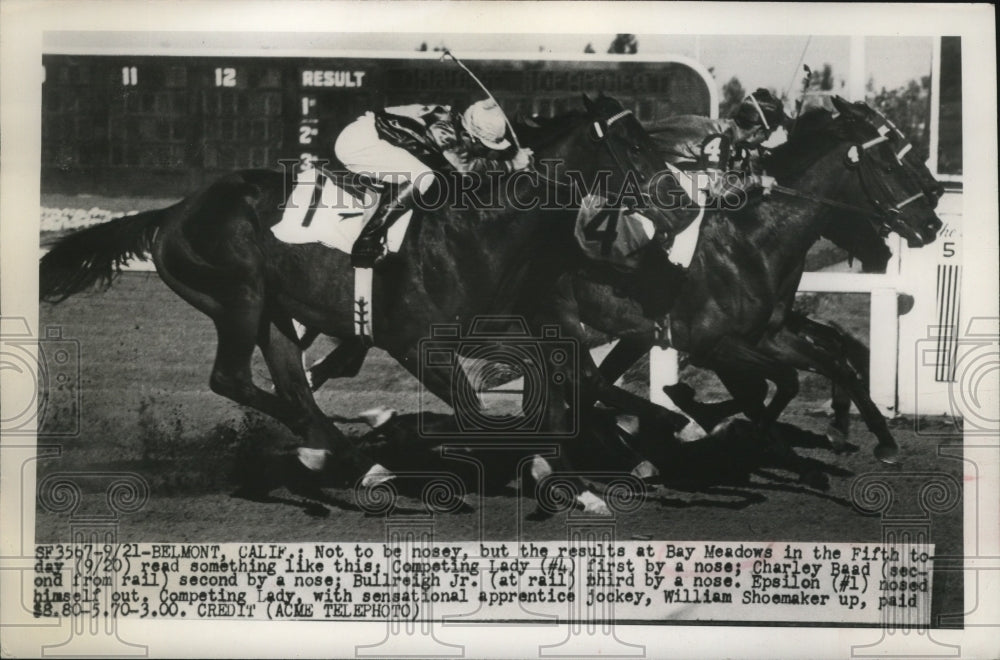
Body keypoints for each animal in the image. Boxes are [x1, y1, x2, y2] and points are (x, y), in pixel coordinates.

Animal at [39, 93, 680, 510]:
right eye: (630, 142)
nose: (681, 202)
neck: (483, 228)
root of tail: (172, 213)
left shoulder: (499, 328)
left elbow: (564, 384)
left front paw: (601, 468)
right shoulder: (414, 343)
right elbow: (487, 407)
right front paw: (566, 474)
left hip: (271, 311)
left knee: (291, 386)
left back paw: (340, 456)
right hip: (236, 297)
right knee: (232, 378)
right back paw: (345, 460)